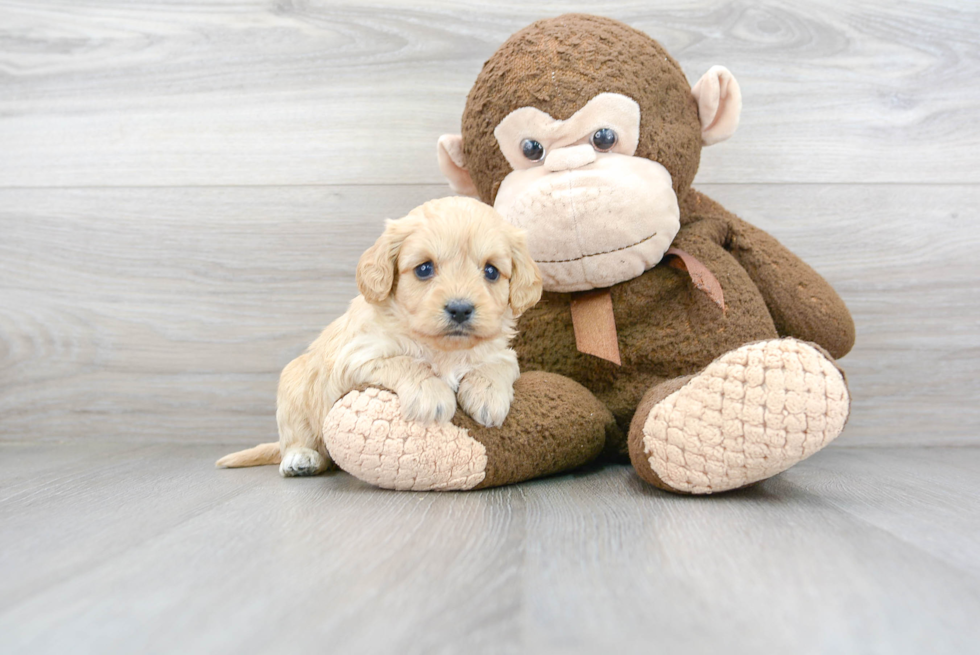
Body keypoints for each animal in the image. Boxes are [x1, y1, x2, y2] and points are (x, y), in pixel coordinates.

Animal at [214, 197, 544, 480]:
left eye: (491, 271)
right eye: (424, 268)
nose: (460, 309)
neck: (443, 349)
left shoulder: (502, 352)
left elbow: (498, 365)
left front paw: (488, 395)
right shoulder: (356, 356)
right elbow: (406, 361)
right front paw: (431, 395)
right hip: (293, 386)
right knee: (300, 441)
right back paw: (300, 458)